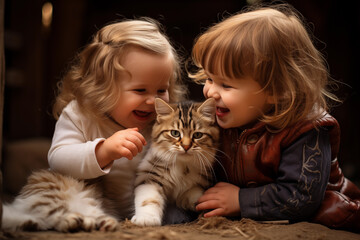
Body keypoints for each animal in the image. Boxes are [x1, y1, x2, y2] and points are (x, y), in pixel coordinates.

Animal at [131, 97, 218, 227]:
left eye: (197, 135)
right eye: (175, 133)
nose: (186, 146)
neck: (183, 166)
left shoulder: (202, 182)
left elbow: (195, 195)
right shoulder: (150, 178)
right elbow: (149, 200)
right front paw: (146, 219)